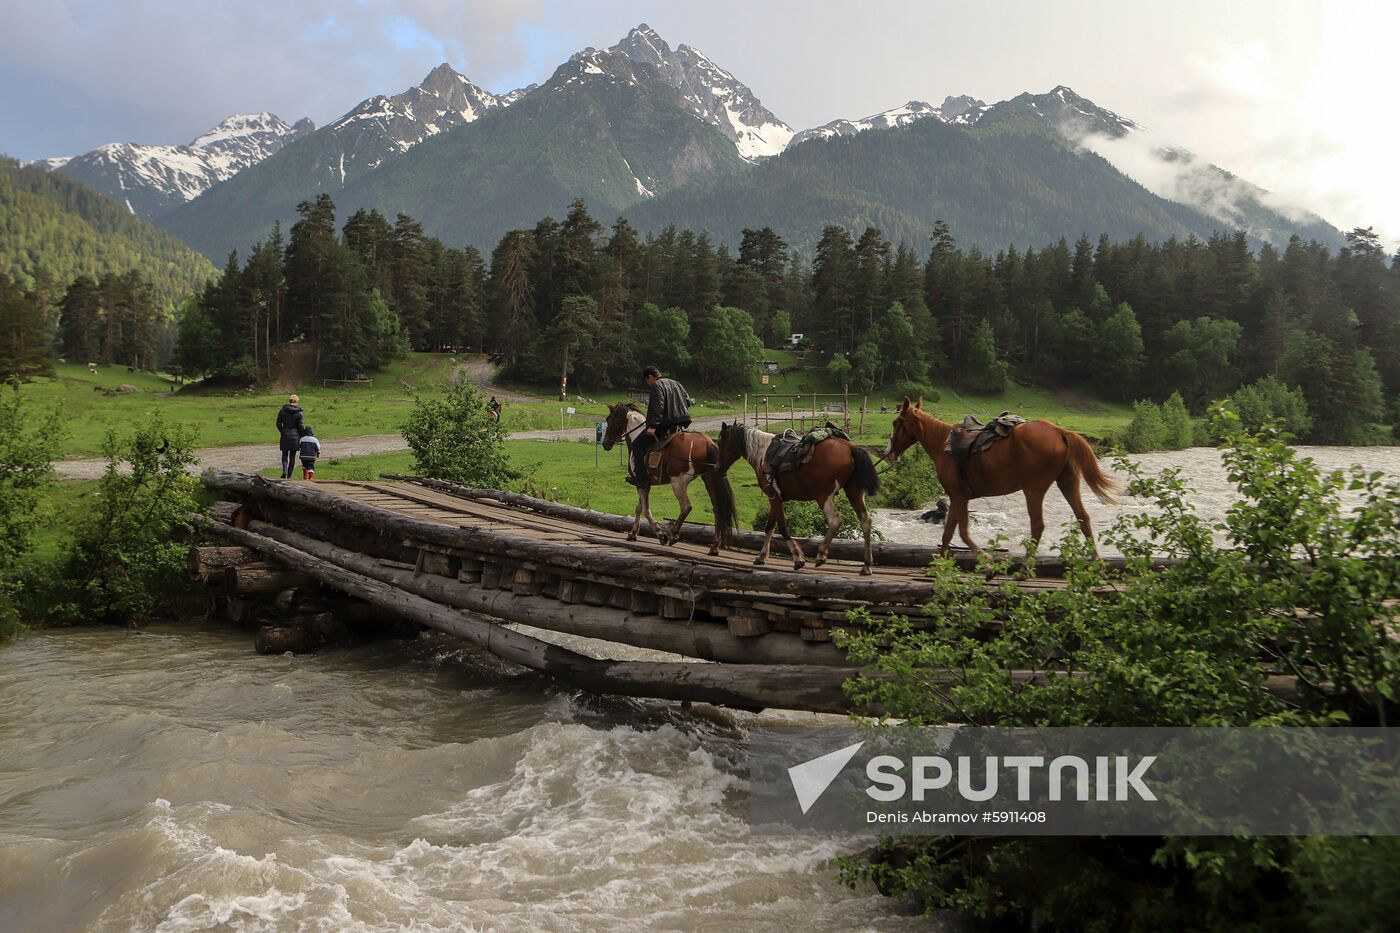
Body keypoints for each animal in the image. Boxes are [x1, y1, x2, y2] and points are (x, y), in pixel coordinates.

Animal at [602, 400, 739, 551]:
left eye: (609, 419)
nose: (605, 443)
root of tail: (709, 443)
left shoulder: (642, 484)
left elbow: (646, 510)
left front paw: (661, 534)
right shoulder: (644, 483)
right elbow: (639, 508)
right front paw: (632, 533)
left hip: (678, 482)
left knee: (686, 507)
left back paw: (673, 534)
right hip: (708, 480)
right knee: (717, 510)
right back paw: (714, 546)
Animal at [716, 420, 879, 574]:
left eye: (719, 442)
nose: (718, 467)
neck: (761, 454)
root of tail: (851, 448)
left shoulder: (774, 497)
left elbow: (782, 527)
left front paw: (798, 559)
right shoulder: (774, 498)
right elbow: (769, 527)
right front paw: (761, 557)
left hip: (823, 496)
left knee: (835, 521)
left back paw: (821, 555)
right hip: (854, 492)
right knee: (866, 521)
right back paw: (866, 565)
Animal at [890, 395, 1120, 554]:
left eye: (895, 423)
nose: (889, 453)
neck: (942, 445)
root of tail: (1060, 432)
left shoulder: (958, 496)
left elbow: (960, 532)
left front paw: (986, 561)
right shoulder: (957, 497)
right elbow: (948, 534)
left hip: (1033, 489)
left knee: (1037, 526)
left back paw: (1022, 572)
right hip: (1067, 482)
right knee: (1083, 518)